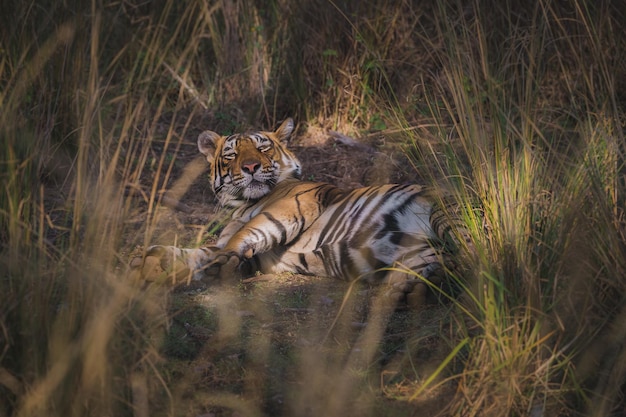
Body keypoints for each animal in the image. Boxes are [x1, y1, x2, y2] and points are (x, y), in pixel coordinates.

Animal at [135, 118, 468, 308]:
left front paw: (217, 264)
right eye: (232, 155)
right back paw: (412, 291)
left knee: (469, 257)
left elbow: (242, 235)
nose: (251, 167)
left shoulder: (290, 207)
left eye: (263, 149)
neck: (241, 205)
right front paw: (156, 261)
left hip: (448, 215)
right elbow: (201, 251)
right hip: (419, 255)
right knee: (443, 267)